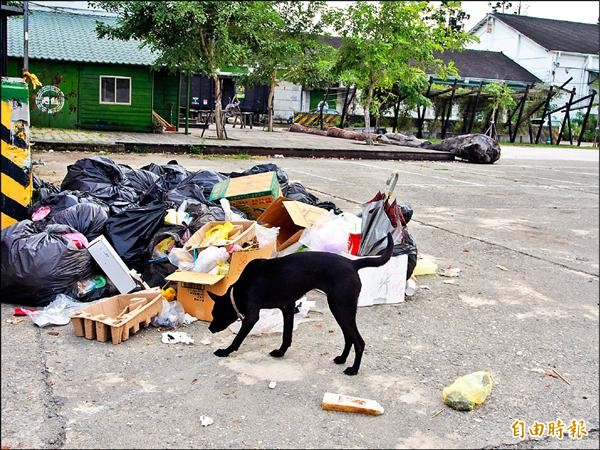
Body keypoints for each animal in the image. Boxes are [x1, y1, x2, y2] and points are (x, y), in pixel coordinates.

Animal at [209, 234, 396, 374]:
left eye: (214, 314)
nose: (210, 328)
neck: (239, 289)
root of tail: (352, 263)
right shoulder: (287, 307)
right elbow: (287, 335)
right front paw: (281, 352)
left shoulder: (252, 316)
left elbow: (238, 339)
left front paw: (225, 351)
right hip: (340, 309)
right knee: (349, 337)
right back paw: (342, 359)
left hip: (341, 308)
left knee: (359, 341)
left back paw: (353, 369)